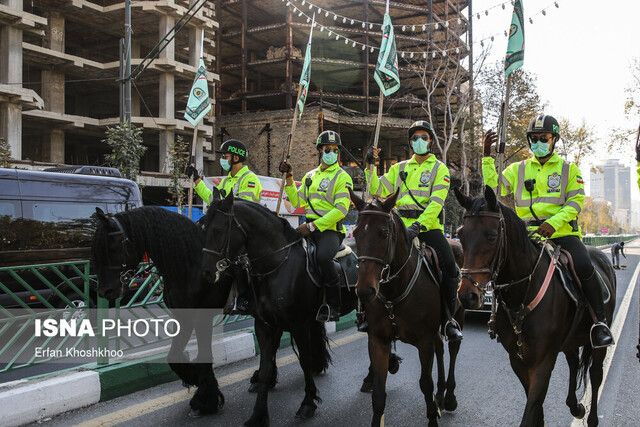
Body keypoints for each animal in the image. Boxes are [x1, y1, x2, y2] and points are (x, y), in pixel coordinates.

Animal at [92, 207, 228, 418]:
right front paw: (194, 377)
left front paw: (205, 400)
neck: (191, 266)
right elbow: (173, 356)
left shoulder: (202, 317)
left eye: (112, 248)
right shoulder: (183, 317)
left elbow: (204, 354)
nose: (105, 292)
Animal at [200, 192, 362, 426]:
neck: (277, 265)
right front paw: (258, 414)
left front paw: (308, 403)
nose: (206, 272)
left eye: (219, 229)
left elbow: (303, 361)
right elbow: (266, 367)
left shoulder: (299, 325)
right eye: (203, 226)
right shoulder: (265, 325)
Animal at [350, 191, 444, 427]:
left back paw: (447, 397)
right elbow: (378, 393)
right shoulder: (378, 340)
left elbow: (425, 384)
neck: (394, 290)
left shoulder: (424, 341)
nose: (364, 291)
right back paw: (441, 395)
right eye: (355, 233)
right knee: (441, 347)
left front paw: (432, 415)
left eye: (384, 233)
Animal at [456, 187, 616, 427]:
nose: (467, 296)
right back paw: (575, 406)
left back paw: (591, 418)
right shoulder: (517, 360)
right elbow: (535, 411)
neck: (522, 294)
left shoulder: (543, 362)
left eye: (492, 236)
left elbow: (531, 409)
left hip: (598, 341)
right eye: (461, 236)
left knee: (596, 374)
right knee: (573, 362)